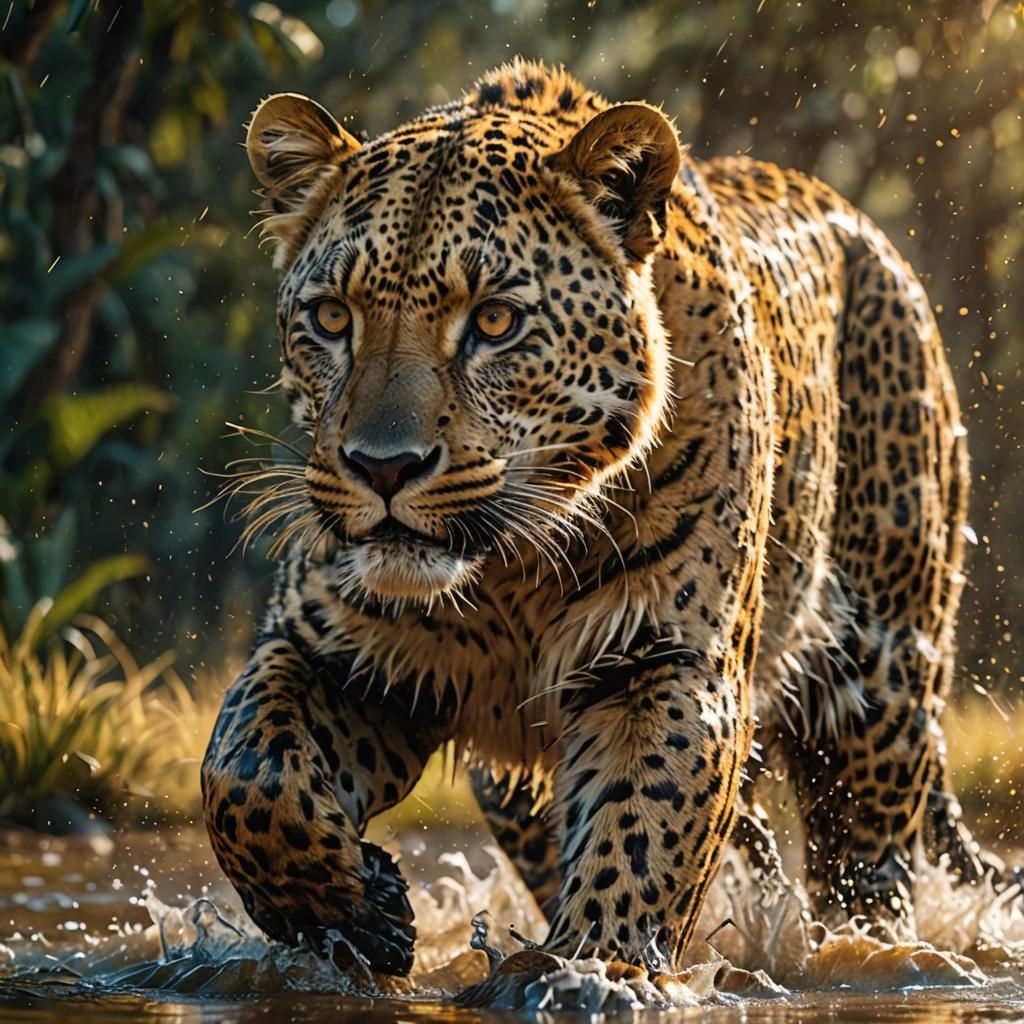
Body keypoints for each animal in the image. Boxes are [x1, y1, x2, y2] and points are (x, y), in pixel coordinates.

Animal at [201, 58, 1014, 979]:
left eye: (495, 320)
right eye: (333, 317)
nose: (383, 467)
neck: (508, 575)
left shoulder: (665, 665)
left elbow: (642, 831)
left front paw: (598, 973)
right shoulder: (330, 647)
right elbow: (244, 768)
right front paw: (355, 912)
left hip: (880, 678)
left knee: (867, 871)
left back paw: (872, 953)